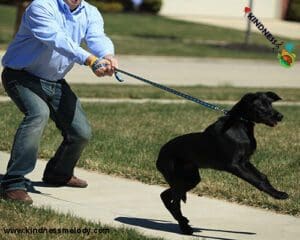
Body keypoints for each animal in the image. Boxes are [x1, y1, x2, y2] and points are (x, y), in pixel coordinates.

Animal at [157, 91, 288, 234]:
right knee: (174, 203)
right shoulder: (235, 165)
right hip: (178, 179)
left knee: (165, 195)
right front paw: (278, 195)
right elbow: (257, 181)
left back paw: (183, 221)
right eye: (262, 106)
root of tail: (159, 157)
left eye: (270, 103)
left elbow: (262, 177)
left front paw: (277, 192)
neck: (239, 123)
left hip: (190, 179)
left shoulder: (245, 162)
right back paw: (184, 227)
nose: (280, 116)